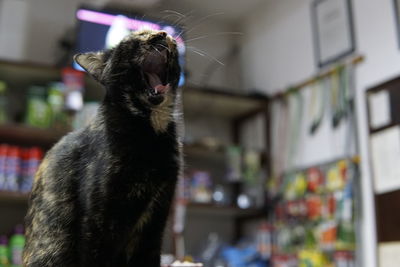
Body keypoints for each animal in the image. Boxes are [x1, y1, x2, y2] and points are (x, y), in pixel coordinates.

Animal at [22, 29, 182, 267]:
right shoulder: (98, 221)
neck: (152, 131)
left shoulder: (155, 222)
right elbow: (95, 255)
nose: (161, 34)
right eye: (137, 37)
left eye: (167, 36)